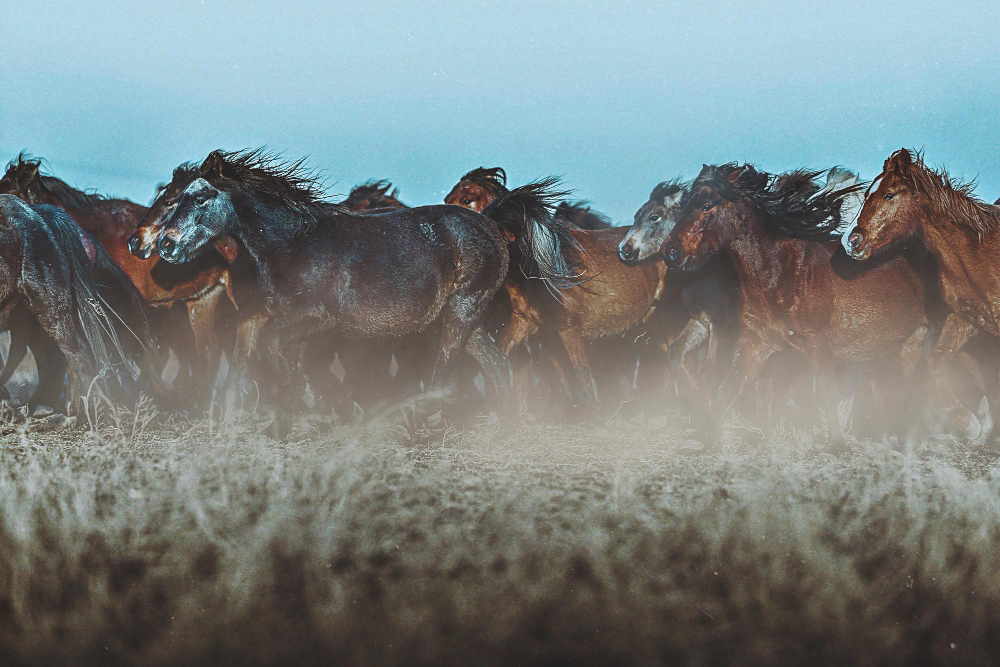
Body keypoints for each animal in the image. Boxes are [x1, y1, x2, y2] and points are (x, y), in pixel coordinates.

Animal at [152, 149, 579, 434]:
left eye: (200, 197)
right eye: (175, 198)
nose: (165, 246)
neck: (293, 244)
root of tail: (489, 222)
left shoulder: (315, 318)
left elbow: (277, 351)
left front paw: (311, 408)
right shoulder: (286, 322)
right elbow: (280, 361)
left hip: (461, 313)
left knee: (446, 379)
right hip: (468, 323)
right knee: (499, 369)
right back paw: (507, 431)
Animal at [660, 163, 929, 453]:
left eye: (706, 205)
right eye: (685, 203)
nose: (670, 252)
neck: (779, 272)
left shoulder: (816, 343)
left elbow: (824, 393)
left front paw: (836, 444)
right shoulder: (755, 342)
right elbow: (730, 386)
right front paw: (700, 435)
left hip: (915, 343)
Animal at [844, 148, 1000, 443]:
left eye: (889, 194)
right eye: (868, 193)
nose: (854, 241)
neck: (979, 255)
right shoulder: (968, 319)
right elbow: (936, 361)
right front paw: (970, 425)